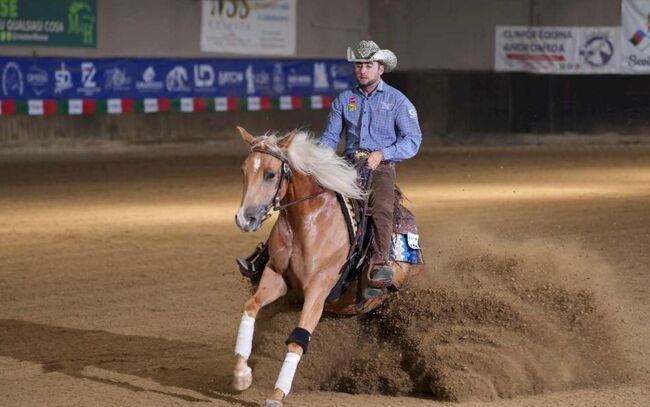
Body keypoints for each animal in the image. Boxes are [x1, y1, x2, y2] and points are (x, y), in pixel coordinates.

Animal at [230, 126, 422, 406]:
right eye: (243, 170)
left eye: (271, 174)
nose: (245, 219)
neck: (307, 222)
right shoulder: (276, 275)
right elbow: (251, 307)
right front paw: (241, 375)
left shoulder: (318, 288)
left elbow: (298, 339)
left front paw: (277, 394)